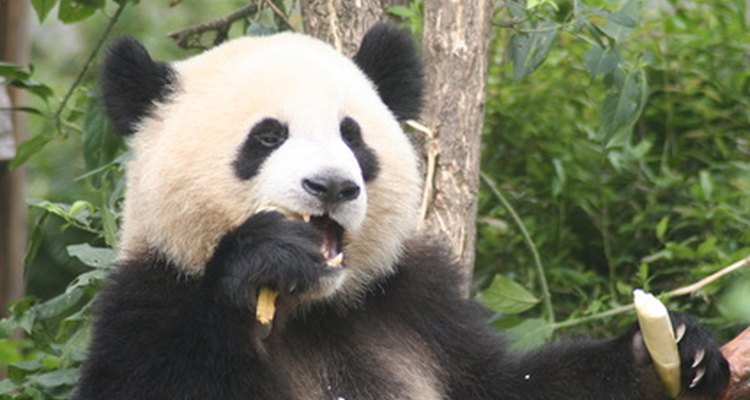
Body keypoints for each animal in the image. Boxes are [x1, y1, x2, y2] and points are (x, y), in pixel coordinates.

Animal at [73, 25, 732, 400]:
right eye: (267, 137)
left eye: (352, 135)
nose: (332, 186)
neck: (311, 310)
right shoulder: (151, 301)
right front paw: (263, 257)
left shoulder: (415, 307)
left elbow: (508, 386)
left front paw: (674, 350)